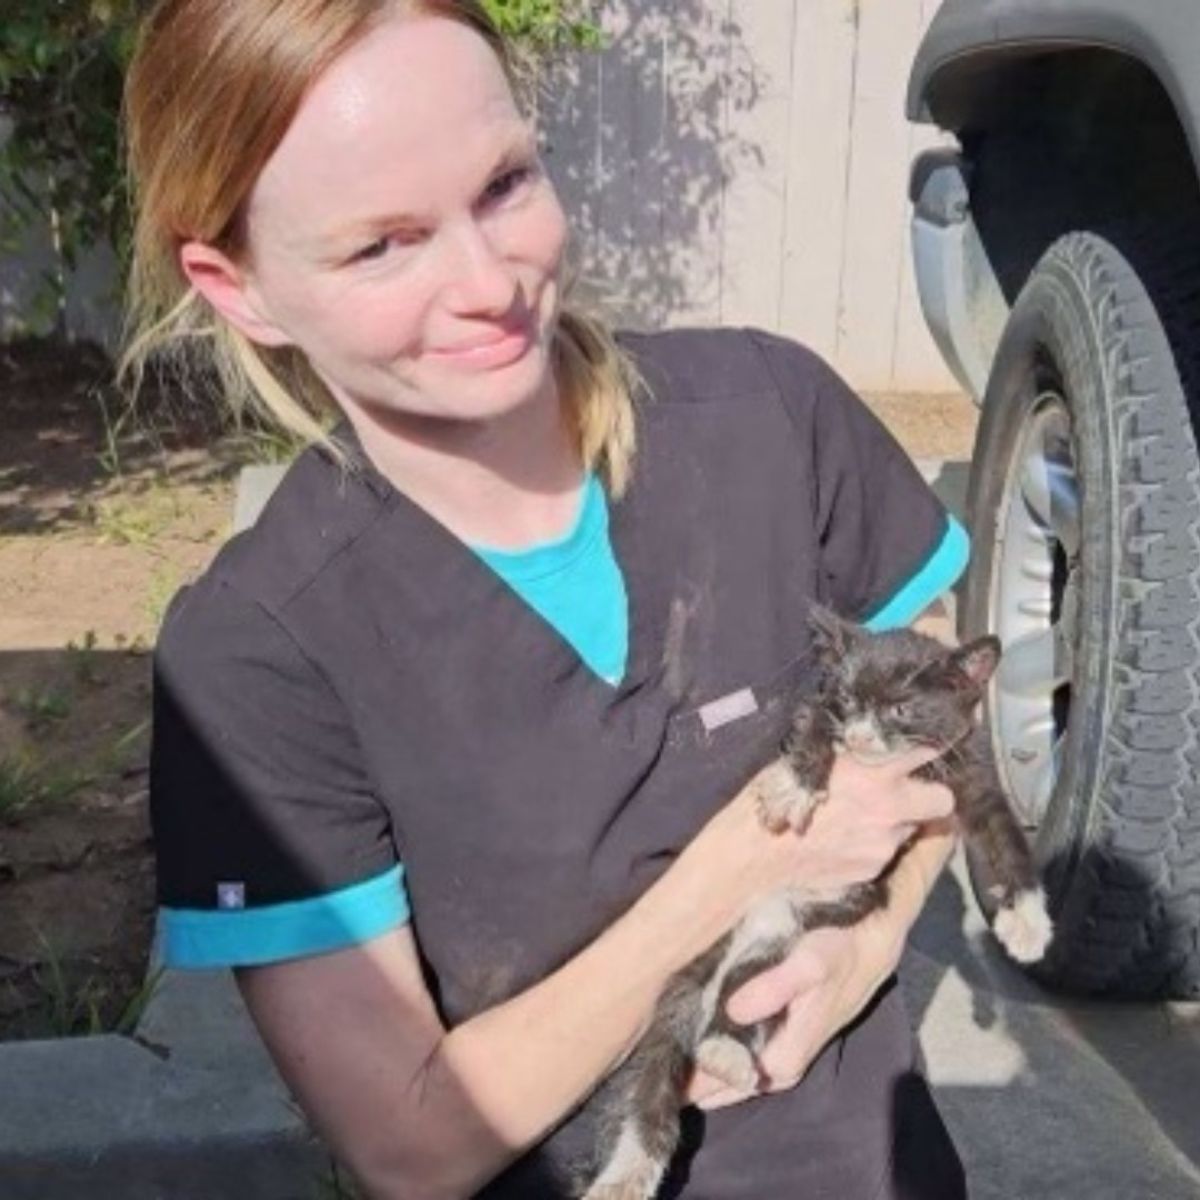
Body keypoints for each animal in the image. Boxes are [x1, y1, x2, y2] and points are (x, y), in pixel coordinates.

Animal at [578, 609, 1051, 1200]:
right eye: (847, 698)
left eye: (900, 708)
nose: (861, 734)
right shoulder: (817, 711)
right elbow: (813, 729)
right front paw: (795, 786)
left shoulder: (969, 769)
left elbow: (1005, 836)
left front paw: (1027, 923)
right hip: (697, 973)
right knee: (657, 1079)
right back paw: (632, 1165)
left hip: (779, 948)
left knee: (737, 1004)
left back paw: (721, 1056)